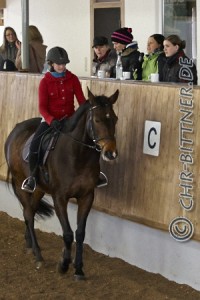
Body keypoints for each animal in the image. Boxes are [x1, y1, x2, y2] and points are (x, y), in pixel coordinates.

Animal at [4, 88, 119, 280]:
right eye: (97, 120)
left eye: (115, 119)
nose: (111, 153)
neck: (77, 155)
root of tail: (15, 129)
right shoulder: (59, 198)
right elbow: (67, 234)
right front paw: (63, 264)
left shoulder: (87, 196)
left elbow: (80, 233)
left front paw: (78, 269)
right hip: (21, 181)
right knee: (28, 214)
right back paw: (38, 255)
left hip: (39, 189)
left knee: (31, 211)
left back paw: (29, 244)